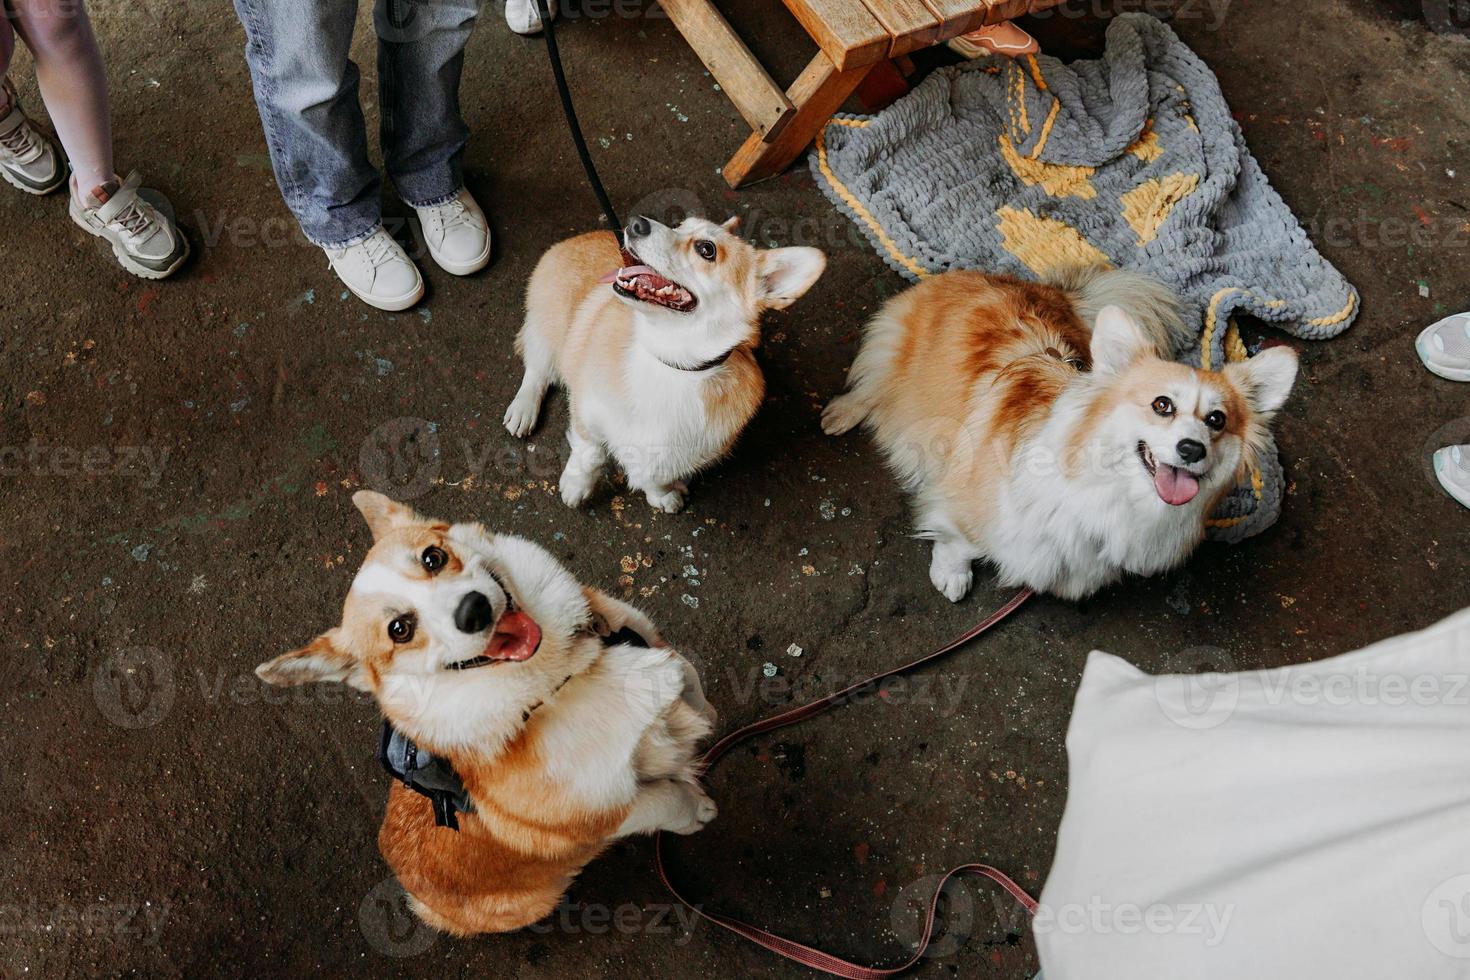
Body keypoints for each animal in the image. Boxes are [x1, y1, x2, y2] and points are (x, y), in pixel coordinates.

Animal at [257, 493, 717, 940]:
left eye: (433, 558)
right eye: (399, 630)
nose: (473, 609)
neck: (562, 678)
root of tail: (410, 888)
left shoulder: (650, 642)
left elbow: (690, 677)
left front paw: (706, 718)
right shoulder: (611, 812)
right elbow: (670, 799)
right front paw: (699, 809)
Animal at [505, 215, 829, 514]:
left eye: (706, 249)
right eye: (680, 224)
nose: (635, 222)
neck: (671, 364)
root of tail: (573, 239)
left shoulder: (676, 453)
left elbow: (656, 477)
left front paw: (662, 497)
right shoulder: (587, 416)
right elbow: (589, 456)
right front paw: (575, 487)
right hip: (548, 330)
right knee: (537, 369)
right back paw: (523, 410)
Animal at [829, 270, 1299, 605]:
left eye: (1217, 420)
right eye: (1161, 404)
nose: (1192, 449)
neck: (1115, 492)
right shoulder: (966, 501)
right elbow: (958, 540)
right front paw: (952, 574)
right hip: (894, 353)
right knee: (873, 385)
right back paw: (841, 412)